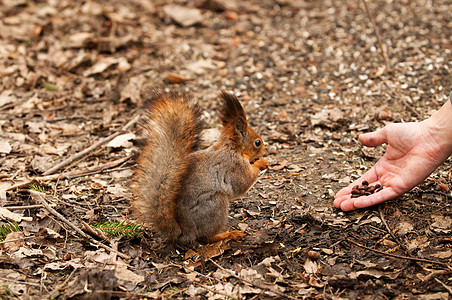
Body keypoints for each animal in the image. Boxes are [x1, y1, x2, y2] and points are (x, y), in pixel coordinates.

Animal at [133, 90, 268, 245]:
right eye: (257, 142)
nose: (265, 151)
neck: (232, 148)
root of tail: (184, 232)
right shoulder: (234, 166)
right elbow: (242, 184)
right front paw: (261, 163)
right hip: (215, 204)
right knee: (205, 237)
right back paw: (228, 234)